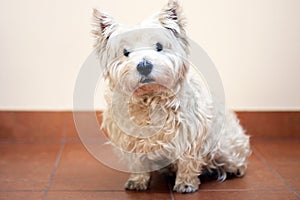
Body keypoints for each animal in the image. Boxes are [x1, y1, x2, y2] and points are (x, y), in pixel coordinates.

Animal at [92, 0, 251, 194]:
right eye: (126, 52)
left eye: (159, 47)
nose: (144, 66)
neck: (149, 99)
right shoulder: (130, 137)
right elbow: (138, 163)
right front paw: (137, 181)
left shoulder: (188, 133)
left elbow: (187, 162)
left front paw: (185, 184)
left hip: (225, 146)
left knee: (235, 158)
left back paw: (232, 169)